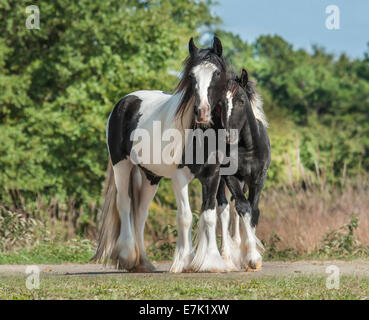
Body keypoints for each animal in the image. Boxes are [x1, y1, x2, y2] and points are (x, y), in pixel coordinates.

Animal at [92, 37, 229, 272]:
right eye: (191, 76)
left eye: (217, 73)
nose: (201, 112)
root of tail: (125, 101)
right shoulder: (179, 177)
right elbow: (185, 217)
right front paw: (184, 261)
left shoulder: (213, 176)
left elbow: (209, 216)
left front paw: (211, 261)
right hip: (122, 166)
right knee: (124, 204)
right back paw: (128, 256)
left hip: (150, 176)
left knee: (141, 214)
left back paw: (144, 262)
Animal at [216, 69, 270, 272]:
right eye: (220, 103)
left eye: (241, 100)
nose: (227, 135)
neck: (247, 148)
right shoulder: (230, 177)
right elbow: (243, 207)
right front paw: (252, 258)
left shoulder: (258, 178)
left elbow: (253, 210)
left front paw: (251, 255)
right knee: (223, 208)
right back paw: (226, 256)